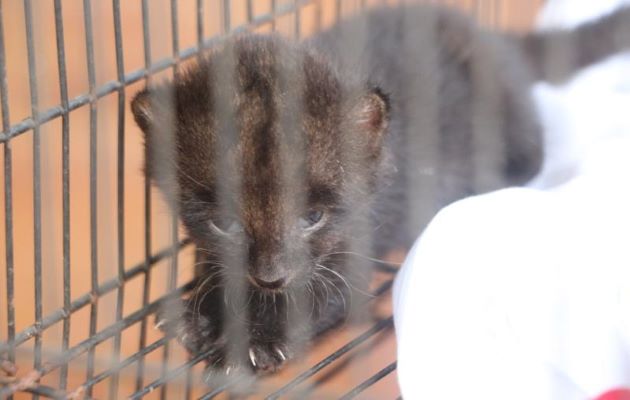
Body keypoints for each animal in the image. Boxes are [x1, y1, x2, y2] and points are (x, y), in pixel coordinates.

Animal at [132, 4, 630, 382]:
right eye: (224, 222)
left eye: (312, 217)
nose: (271, 276)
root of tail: (493, 38)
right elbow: (215, 264)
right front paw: (196, 312)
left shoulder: (355, 252)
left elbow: (315, 297)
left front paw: (251, 345)